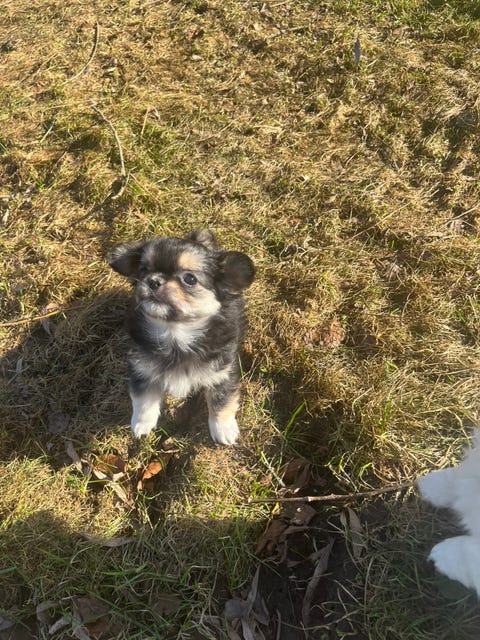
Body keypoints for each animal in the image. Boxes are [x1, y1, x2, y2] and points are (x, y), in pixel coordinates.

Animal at [108, 229, 255, 445]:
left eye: (190, 279)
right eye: (143, 270)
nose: (153, 281)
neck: (176, 333)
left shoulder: (223, 371)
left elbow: (221, 400)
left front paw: (224, 429)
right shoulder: (141, 366)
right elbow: (143, 398)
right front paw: (141, 424)